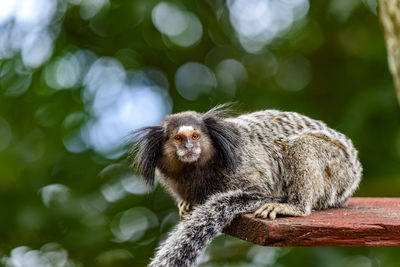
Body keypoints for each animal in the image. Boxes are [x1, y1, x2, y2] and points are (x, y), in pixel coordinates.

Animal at [131, 104, 362, 267]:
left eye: (195, 136)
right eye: (178, 138)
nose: (189, 146)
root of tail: (355, 170)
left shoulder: (247, 169)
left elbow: (256, 193)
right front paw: (186, 204)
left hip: (337, 167)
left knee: (302, 145)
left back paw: (295, 206)